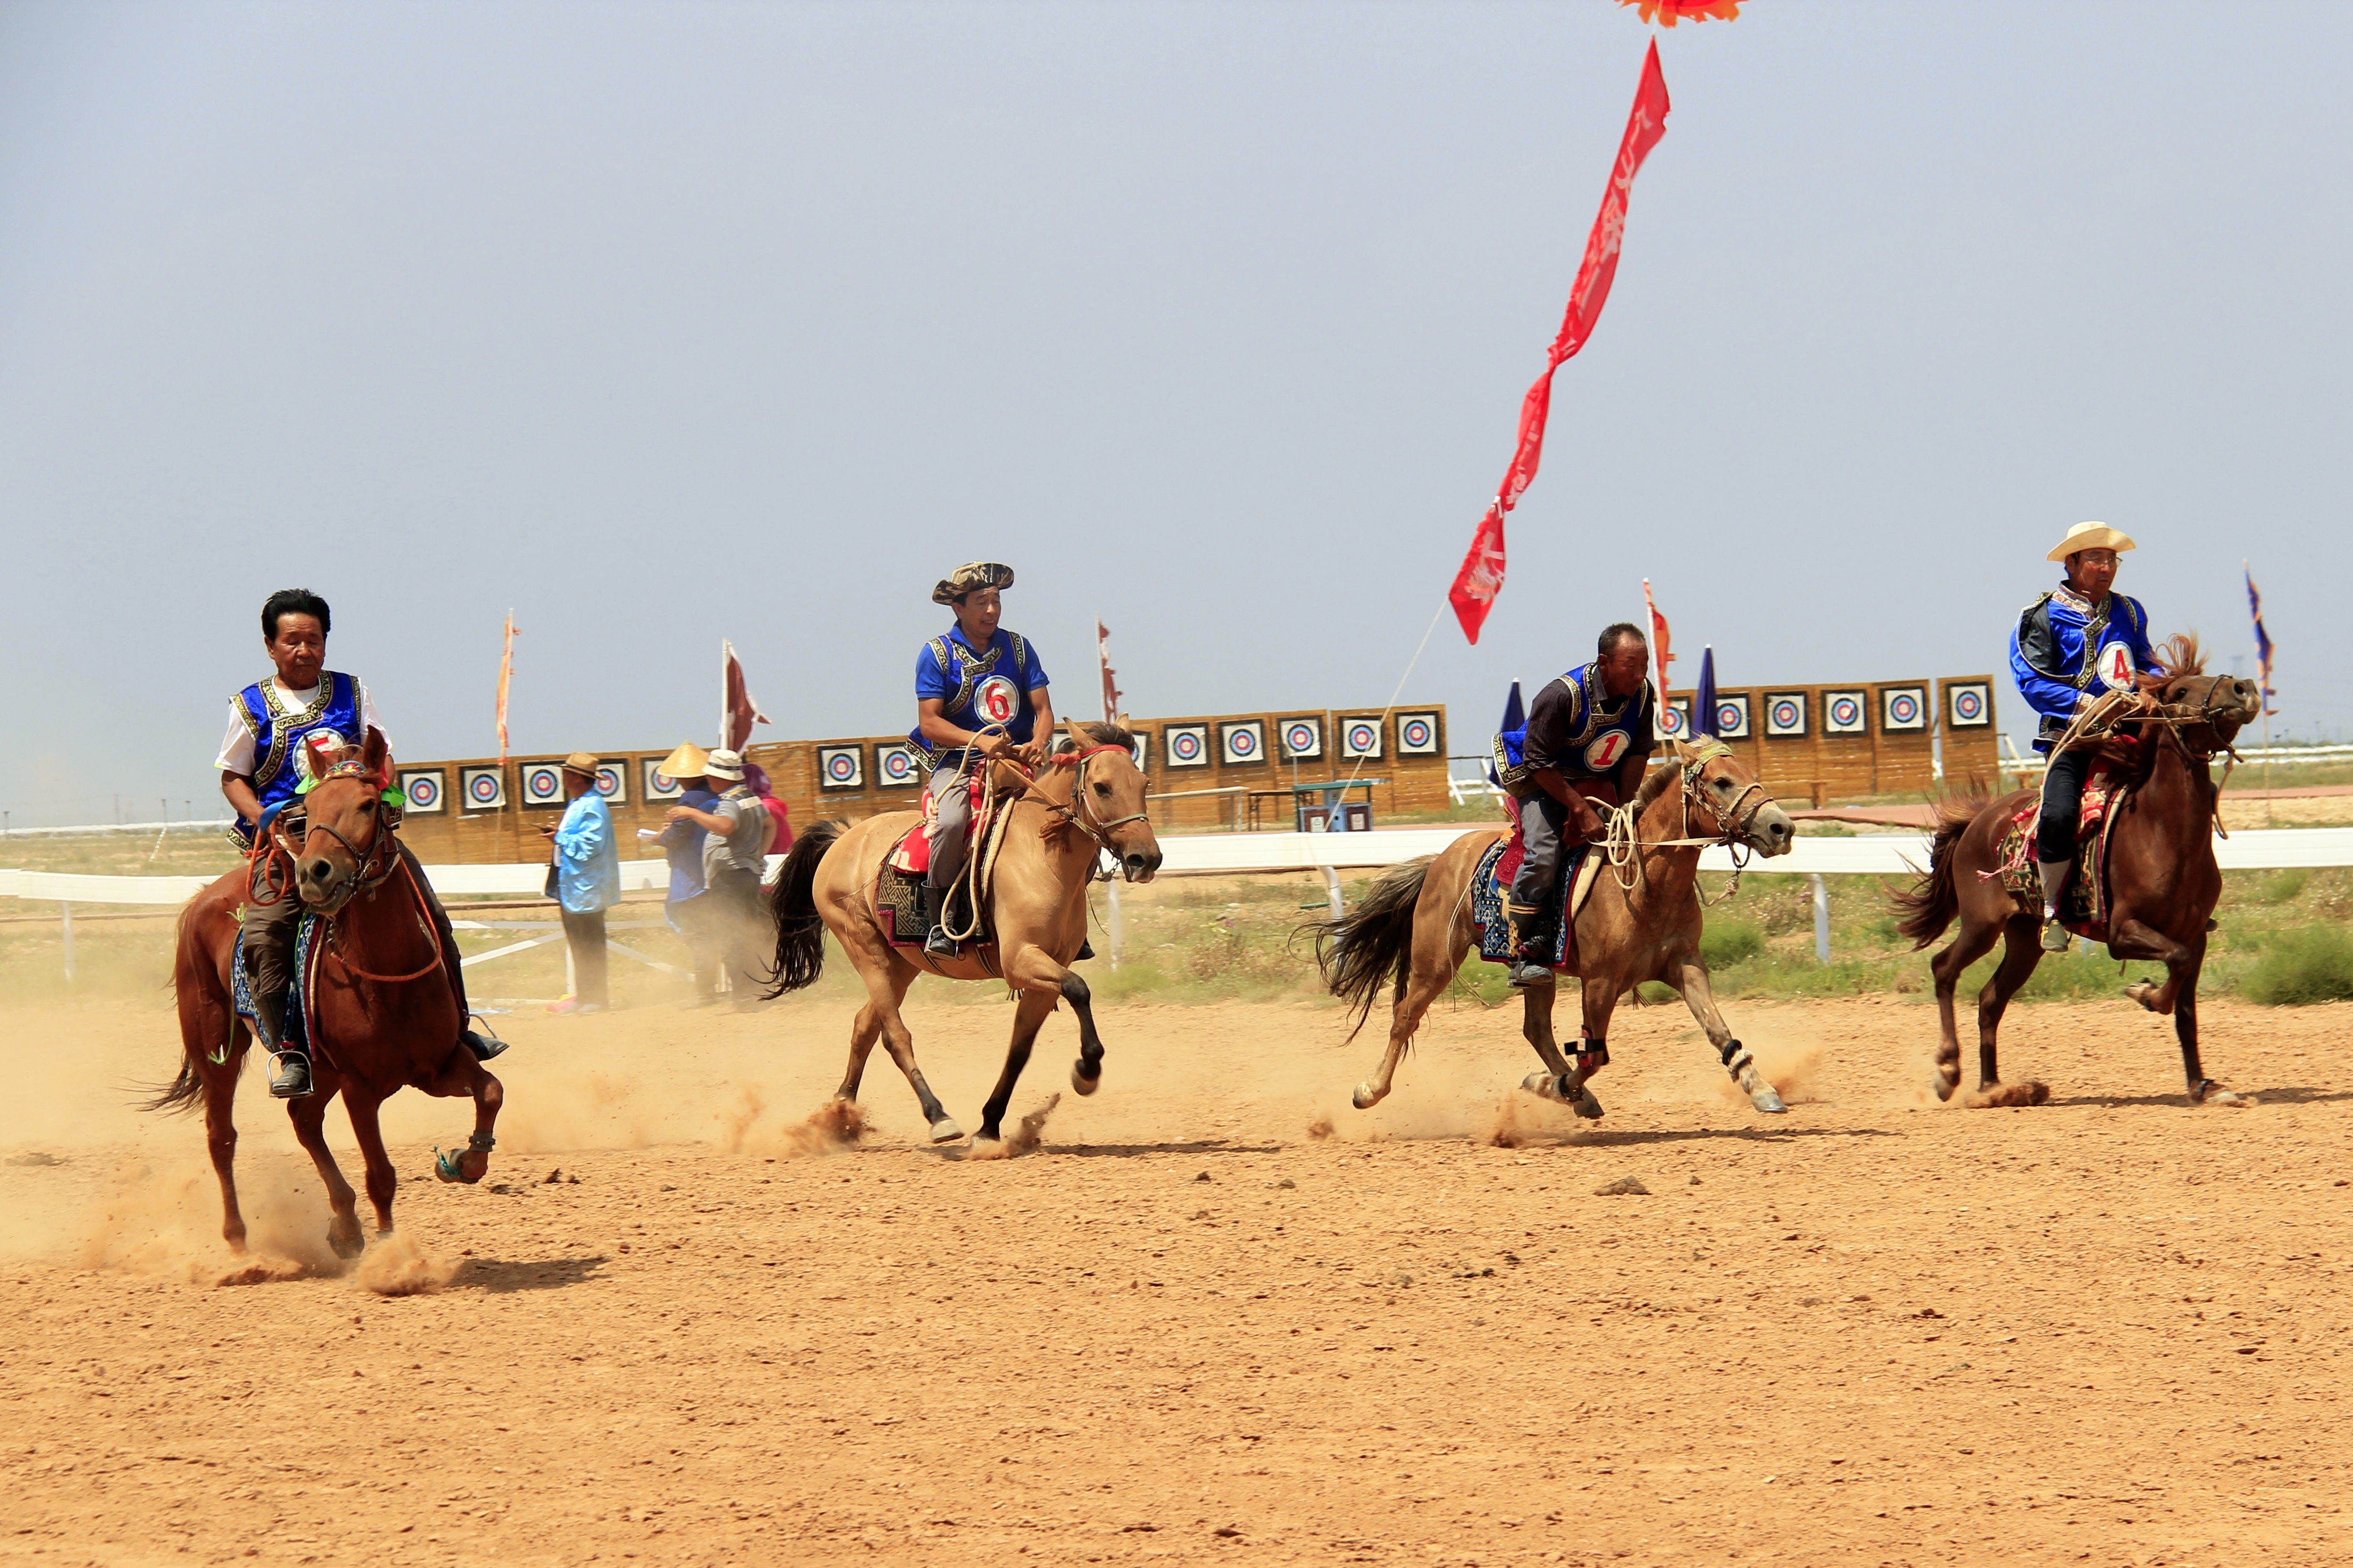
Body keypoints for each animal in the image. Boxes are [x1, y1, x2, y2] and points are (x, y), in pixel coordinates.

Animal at [153, 728, 506, 1260]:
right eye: (311, 807)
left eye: (367, 803)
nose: (313, 872)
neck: (388, 974)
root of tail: (200, 900)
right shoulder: (361, 1088)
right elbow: (381, 1175)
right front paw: (392, 1256)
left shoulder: (438, 1064)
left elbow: (491, 1090)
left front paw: (465, 1161)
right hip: (217, 1047)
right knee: (223, 1137)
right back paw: (240, 1243)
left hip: (319, 1069)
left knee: (302, 1117)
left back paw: (344, 1225)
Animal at [767, 724, 1162, 1152]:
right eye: (1102, 787)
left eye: (1143, 782)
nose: (1147, 858)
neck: (1041, 856)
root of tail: (846, 836)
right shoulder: (1020, 961)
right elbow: (1079, 989)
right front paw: (1086, 1071)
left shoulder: (1044, 973)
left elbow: (1020, 1048)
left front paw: (990, 1126)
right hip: (865, 948)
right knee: (894, 1034)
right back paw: (937, 1116)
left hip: (899, 964)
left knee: (865, 1026)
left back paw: (840, 1117)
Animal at [1317, 743, 1788, 1123]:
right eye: (1722, 781)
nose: (1781, 827)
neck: (1645, 883)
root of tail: (1442, 858)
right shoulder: (1600, 982)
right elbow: (1594, 1054)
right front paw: (1551, 1086)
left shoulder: (1684, 963)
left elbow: (1718, 1030)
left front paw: (1762, 1089)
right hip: (1435, 960)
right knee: (1404, 1018)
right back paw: (1369, 1090)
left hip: (1535, 971)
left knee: (1536, 1029)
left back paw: (1577, 1096)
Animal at [1891, 634, 2259, 1105]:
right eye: (2179, 690)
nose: (2243, 688)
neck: (2164, 832)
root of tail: (1977, 821)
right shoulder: (2124, 932)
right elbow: (2170, 978)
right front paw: (2143, 992)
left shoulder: (2195, 937)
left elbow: (2185, 1011)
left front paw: (2203, 1086)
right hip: (1981, 924)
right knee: (1943, 968)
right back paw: (1949, 1071)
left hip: (2025, 938)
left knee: (1990, 999)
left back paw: (1995, 1087)